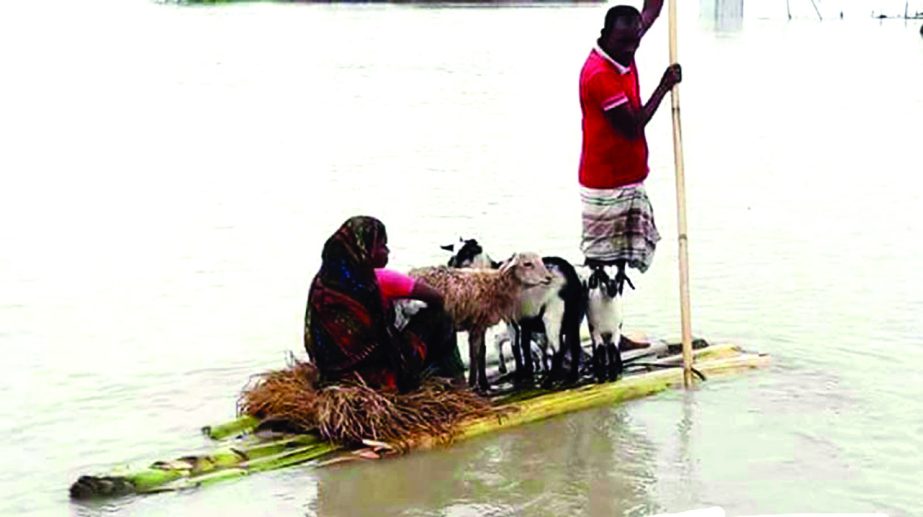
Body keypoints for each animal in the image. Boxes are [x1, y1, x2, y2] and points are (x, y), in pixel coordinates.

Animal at [440, 238, 584, 382]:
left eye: (467, 252)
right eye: (453, 251)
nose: (450, 265)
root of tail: (569, 275)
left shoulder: (511, 319)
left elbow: (515, 345)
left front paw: (520, 372)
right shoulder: (525, 318)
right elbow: (523, 344)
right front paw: (527, 371)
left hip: (553, 314)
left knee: (559, 349)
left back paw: (548, 380)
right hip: (573, 314)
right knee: (574, 345)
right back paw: (572, 376)